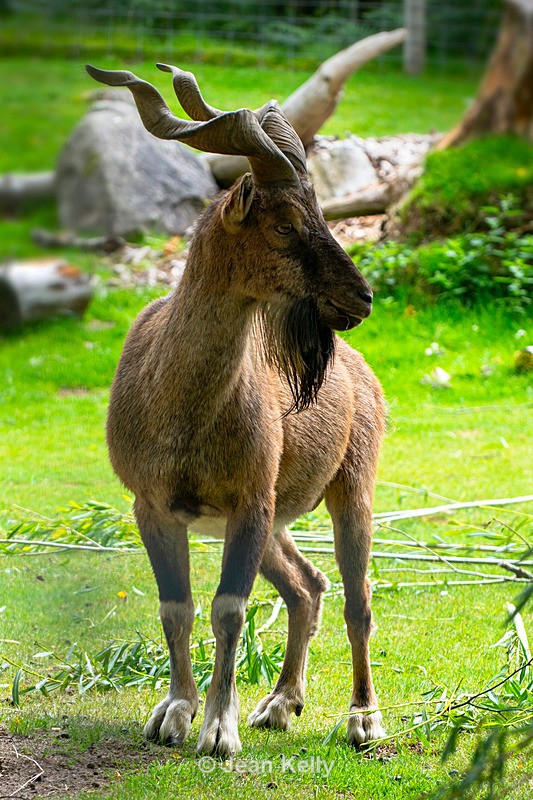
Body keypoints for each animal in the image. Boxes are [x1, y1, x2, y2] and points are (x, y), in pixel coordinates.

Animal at [86, 63, 387, 757]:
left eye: (321, 211)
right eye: (286, 225)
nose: (360, 298)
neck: (183, 408)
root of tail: (363, 376)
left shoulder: (250, 498)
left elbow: (229, 606)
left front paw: (218, 730)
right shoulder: (155, 505)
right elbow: (177, 607)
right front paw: (174, 713)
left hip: (348, 488)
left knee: (356, 596)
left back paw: (362, 718)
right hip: (276, 522)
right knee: (307, 586)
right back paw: (280, 703)